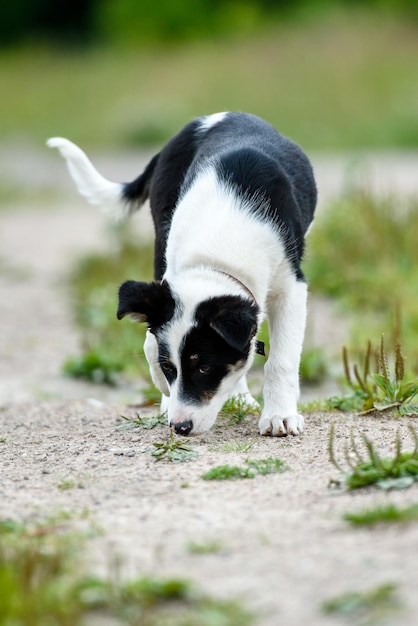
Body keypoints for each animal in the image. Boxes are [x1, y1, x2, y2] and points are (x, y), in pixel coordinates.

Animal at [48, 111, 316, 434]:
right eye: (169, 368)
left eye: (204, 367)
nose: (180, 427)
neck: (217, 251)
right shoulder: (168, 280)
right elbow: (151, 342)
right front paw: (166, 394)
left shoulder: (291, 287)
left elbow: (280, 359)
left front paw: (280, 416)